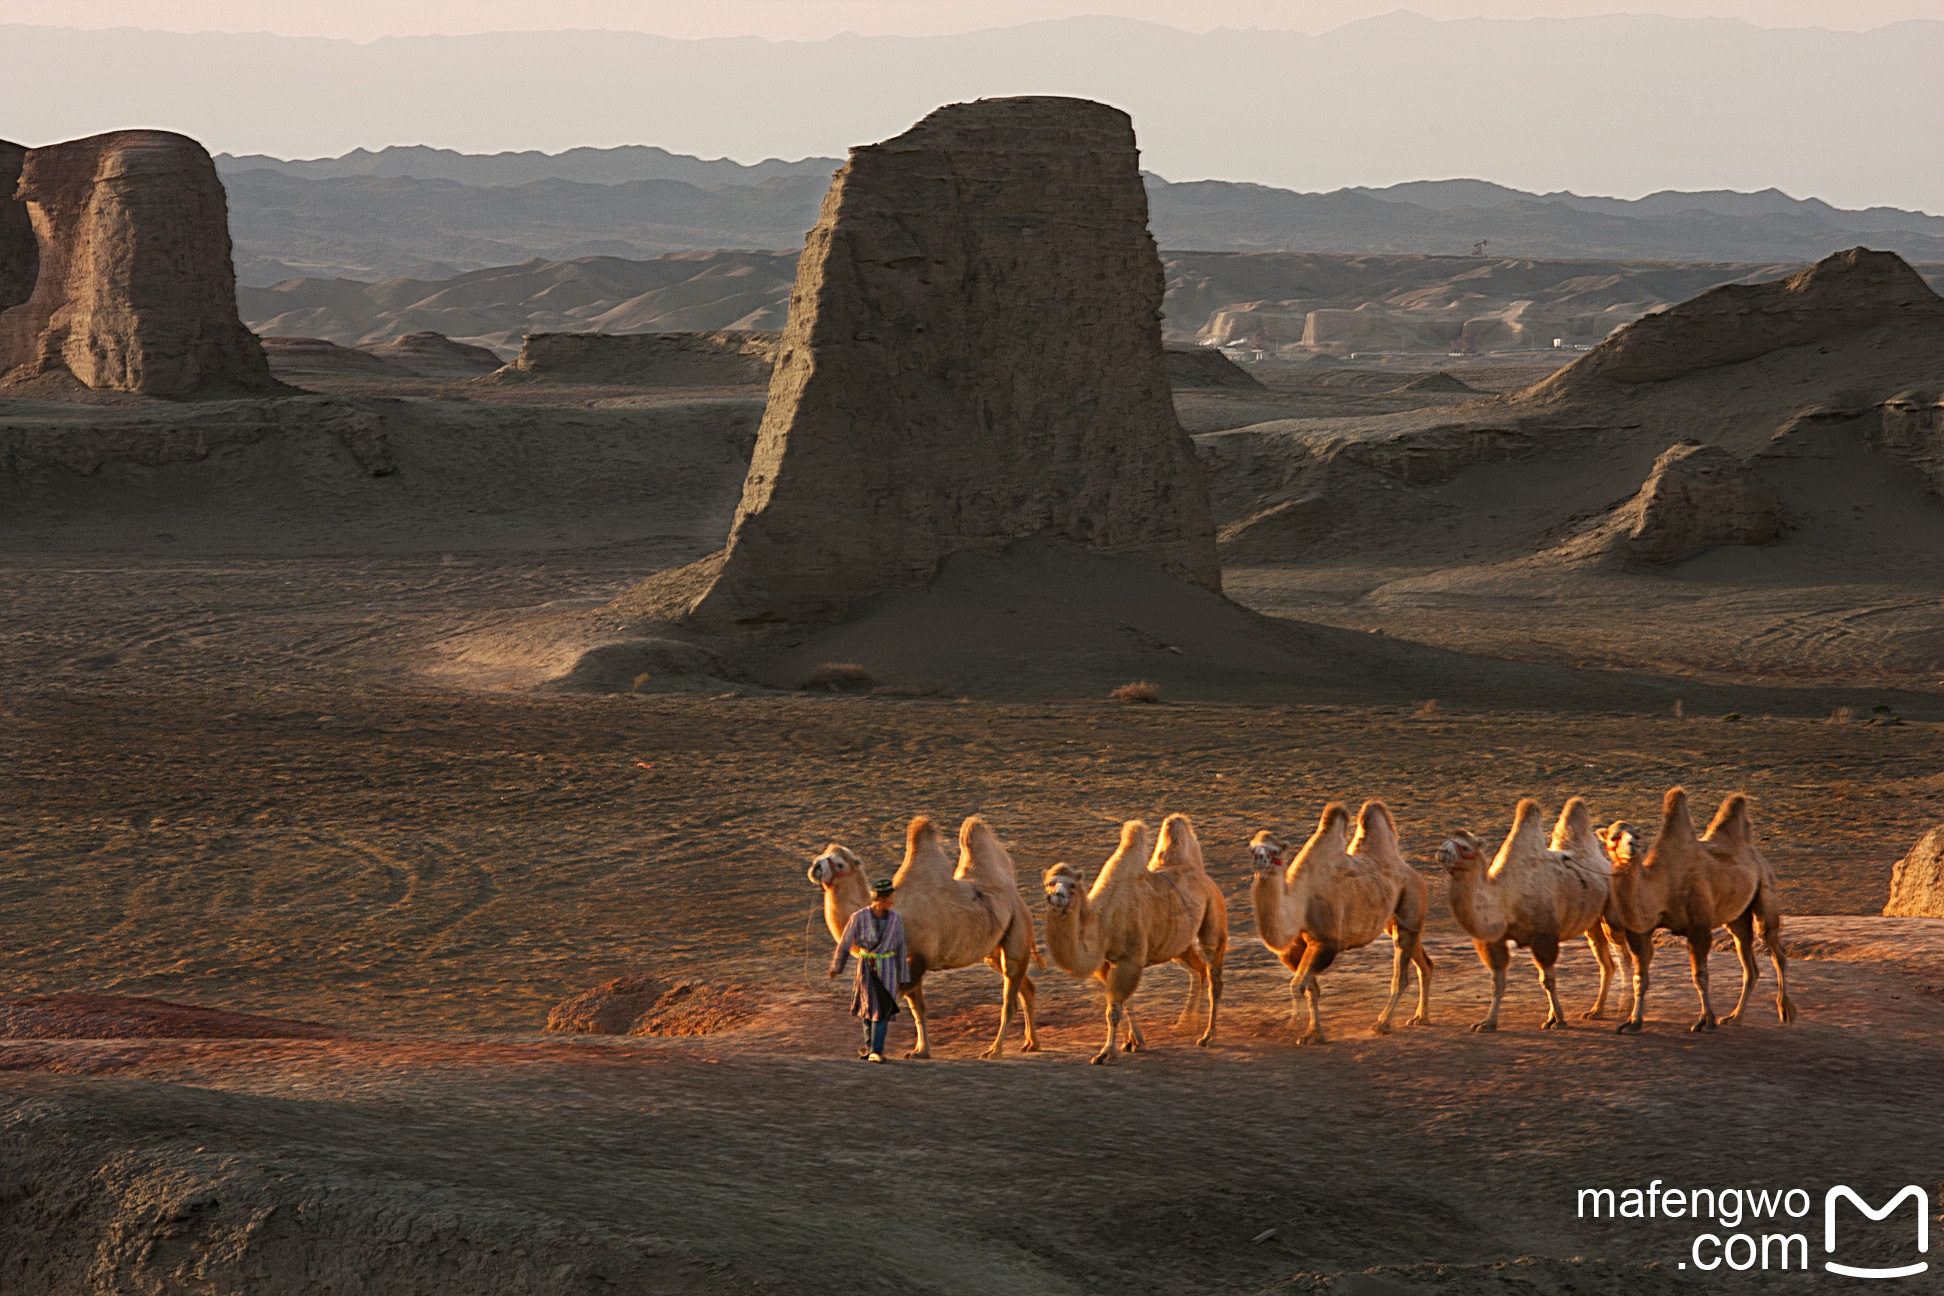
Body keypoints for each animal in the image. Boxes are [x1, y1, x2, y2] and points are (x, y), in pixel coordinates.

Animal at [808, 816, 1041, 1057]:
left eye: (840, 863)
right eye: (822, 854)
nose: (815, 866)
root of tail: (1016, 896)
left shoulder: (918, 958)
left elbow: (898, 1002)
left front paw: (882, 1049)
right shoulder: (906, 963)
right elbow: (917, 1009)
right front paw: (919, 1050)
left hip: (1018, 928)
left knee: (1010, 995)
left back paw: (994, 1050)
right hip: (994, 950)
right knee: (1025, 987)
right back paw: (1031, 1043)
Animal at [1041, 816, 1220, 1072]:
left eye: (1071, 885)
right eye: (1049, 883)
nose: (1057, 896)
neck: (1103, 923)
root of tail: (1203, 875)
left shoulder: (1129, 960)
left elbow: (1114, 1011)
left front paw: (1107, 1053)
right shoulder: (1105, 964)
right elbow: (1124, 1004)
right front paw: (1134, 1042)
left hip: (1213, 912)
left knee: (1214, 974)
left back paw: (1207, 1036)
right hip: (1178, 945)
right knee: (1199, 969)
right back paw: (1188, 1023)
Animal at [1244, 800, 1430, 1041]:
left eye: (1274, 851)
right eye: (1252, 848)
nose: (1258, 859)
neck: (1299, 904)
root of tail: (1414, 874)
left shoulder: (1326, 942)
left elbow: (1297, 986)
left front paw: (1296, 1024)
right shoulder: (1294, 949)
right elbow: (1310, 990)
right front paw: (1314, 1033)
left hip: (1411, 901)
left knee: (1402, 975)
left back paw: (1383, 1023)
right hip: (1396, 921)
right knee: (1424, 961)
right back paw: (1421, 1017)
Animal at [1430, 796, 1625, 1025]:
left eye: (1465, 847)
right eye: (1447, 840)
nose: (1441, 852)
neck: (1504, 898)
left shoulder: (1543, 936)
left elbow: (1547, 980)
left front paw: (1558, 1019)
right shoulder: (1494, 941)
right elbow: (1497, 982)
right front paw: (1488, 1023)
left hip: (1611, 913)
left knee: (1622, 955)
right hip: (1592, 923)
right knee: (1606, 963)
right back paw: (1596, 1011)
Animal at [1601, 784, 1796, 1041]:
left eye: (1637, 835)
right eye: (1614, 837)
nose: (1632, 846)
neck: (1660, 884)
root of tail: (1755, 853)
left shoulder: (1699, 927)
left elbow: (1700, 977)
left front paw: (1706, 1022)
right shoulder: (1640, 930)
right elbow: (1639, 979)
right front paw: (1632, 1023)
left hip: (1766, 886)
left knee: (1774, 947)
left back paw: (1786, 1011)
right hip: (1737, 918)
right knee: (1749, 963)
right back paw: (1735, 1017)